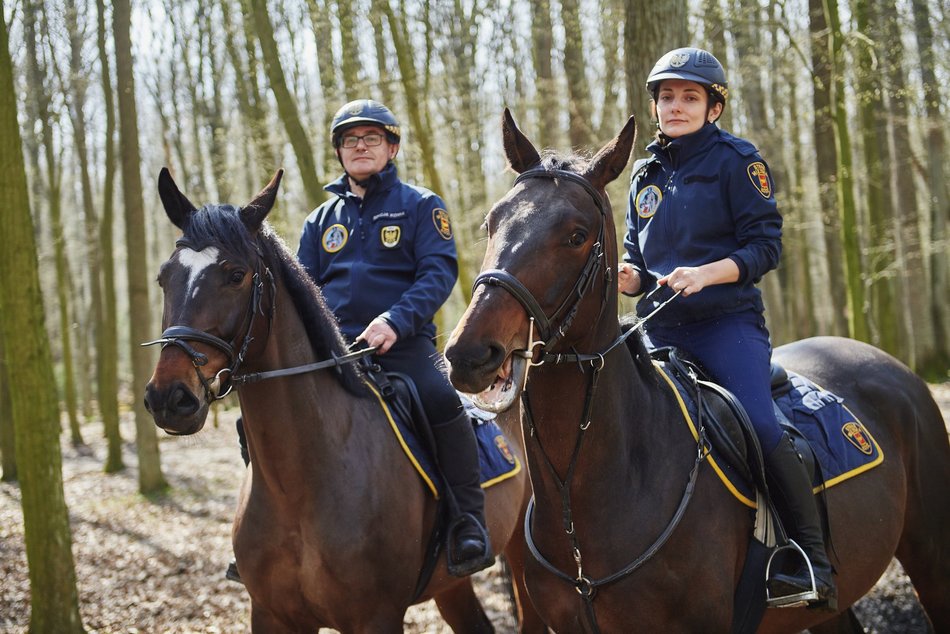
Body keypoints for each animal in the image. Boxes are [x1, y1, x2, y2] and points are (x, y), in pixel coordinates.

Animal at [143, 168, 552, 632]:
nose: (169, 396)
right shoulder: (270, 614)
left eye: (235, 275)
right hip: (450, 585)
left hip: (521, 560)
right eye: (164, 277)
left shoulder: (377, 616)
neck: (299, 487)